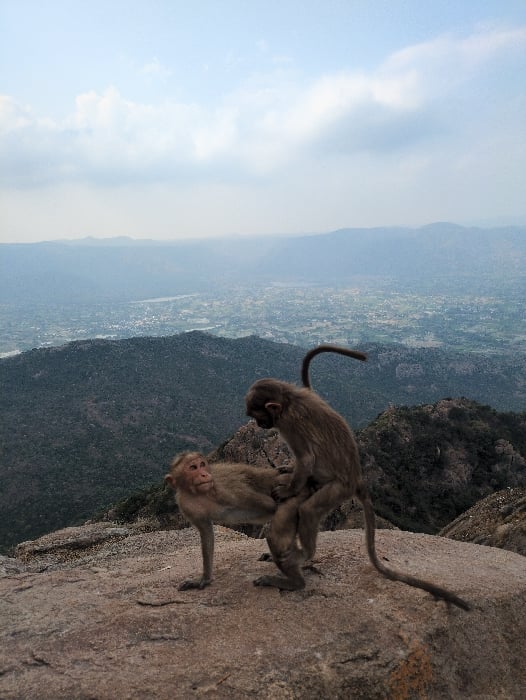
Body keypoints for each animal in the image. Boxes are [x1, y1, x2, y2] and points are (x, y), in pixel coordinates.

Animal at [165, 451, 309, 591]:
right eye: (193, 467)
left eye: (202, 464)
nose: (204, 474)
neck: (200, 494)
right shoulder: (185, 504)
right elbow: (206, 532)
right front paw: (204, 580)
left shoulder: (223, 489)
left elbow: (270, 505)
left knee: (275, 531)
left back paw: (295, 582)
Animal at [245, 344, 470, 610]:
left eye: (258, 415)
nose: (259, 425)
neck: (289, 400)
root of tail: (357, 477)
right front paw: (288, 471)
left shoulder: (290, 423)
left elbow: (307, 459)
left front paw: (288, 488)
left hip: (339, 489)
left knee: (309, 509)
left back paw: (302, 558)